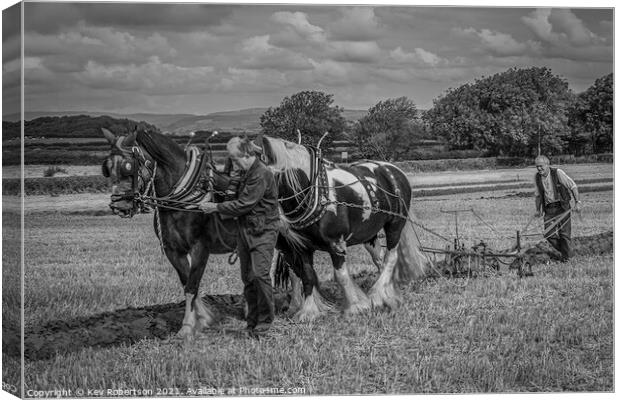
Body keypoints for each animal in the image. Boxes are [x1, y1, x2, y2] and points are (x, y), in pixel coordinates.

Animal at [100, 126, 239, 340]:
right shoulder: (173, 250)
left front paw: (187, 328)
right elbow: (187, 283)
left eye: (128, 166)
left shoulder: (200, 248)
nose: (118, 205)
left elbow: (192, 285)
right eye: (107, 167)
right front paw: (203, 319)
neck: (182, 200)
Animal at [256, 135, 432, 322]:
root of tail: (393, 170)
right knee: (380, 259)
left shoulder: (336, 244)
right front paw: (308, 310)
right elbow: (306, 276)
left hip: (395, 225)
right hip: (369, 235)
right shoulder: (301, 247)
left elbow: (340, 276)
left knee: (391, 258)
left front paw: (355, 307)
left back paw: (377, 295)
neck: (315, 193)